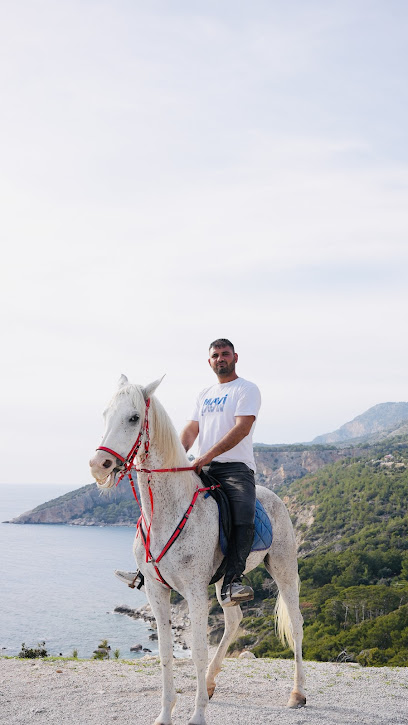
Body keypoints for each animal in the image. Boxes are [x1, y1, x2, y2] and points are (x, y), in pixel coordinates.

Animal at [89, 375, 306, 725]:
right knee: (234, 620)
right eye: (106, 414)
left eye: (133, 418)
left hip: (284, 569)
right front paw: (166, 713)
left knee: (296, 624)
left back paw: (297, 693)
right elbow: (166, 654)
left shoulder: (193, 591)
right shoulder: (157, 591)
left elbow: (198, 652)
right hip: (224, 584)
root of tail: (273, 495)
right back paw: (210, 683)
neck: (166, 512)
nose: (98, 465)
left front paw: (198, 714)